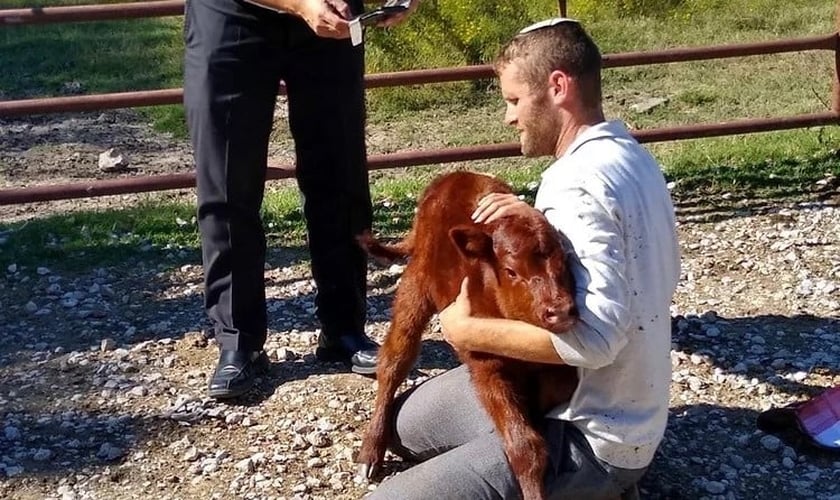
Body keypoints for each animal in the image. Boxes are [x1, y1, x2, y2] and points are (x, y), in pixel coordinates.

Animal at [354, 173, 576, 500]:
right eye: (511, 271)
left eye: (565, 260)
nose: (560, 310)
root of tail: (453, 176)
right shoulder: (486, 365)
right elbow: (525, 446)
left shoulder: (560, 368)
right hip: (414, 287)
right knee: (394, 360)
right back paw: (370, 452)